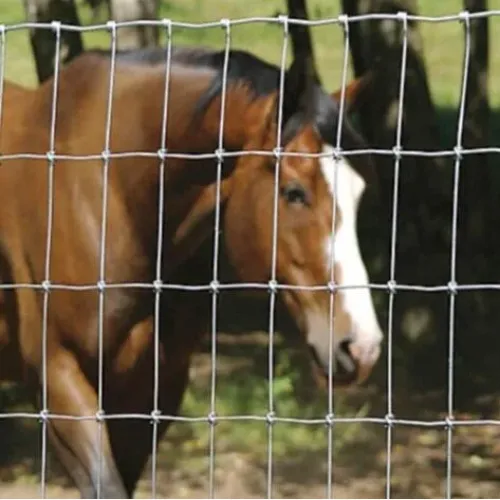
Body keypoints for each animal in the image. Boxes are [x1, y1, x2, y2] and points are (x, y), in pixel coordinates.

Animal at [0, 45, 382, 498]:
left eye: (359, 194)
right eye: (294, 192)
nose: (362, 347)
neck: (108, 192)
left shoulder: (151, 391)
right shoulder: (58, 377)